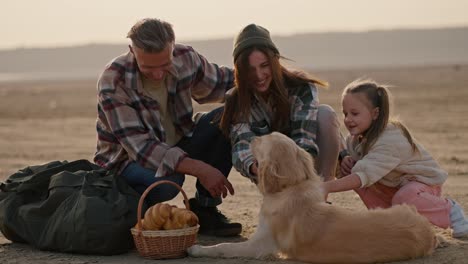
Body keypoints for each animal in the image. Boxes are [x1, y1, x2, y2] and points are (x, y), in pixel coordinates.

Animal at [188, 132, 436, 262]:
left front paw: (198, 249)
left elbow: (223, 246)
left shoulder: (259, 246)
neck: (291, 186)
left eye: (262, 140)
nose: (252, 136)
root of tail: (427, 232)